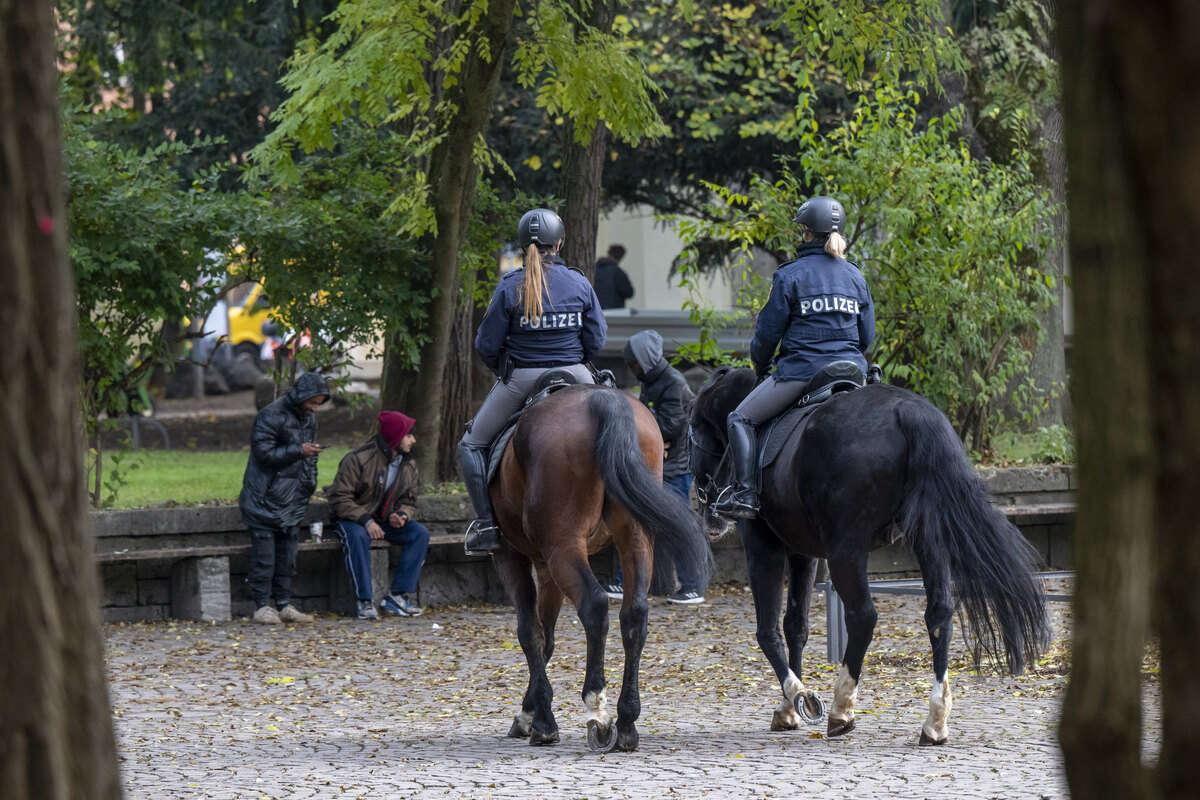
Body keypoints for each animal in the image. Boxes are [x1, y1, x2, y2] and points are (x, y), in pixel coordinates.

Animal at [489, 383, 710, 753]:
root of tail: (601, 400)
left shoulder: (512, 555)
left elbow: (530, 633)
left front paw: (539, 721)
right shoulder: (545, 567)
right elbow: (546, 637)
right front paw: (531, 712)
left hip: (563, 545)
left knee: (594, 605)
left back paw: (597, 709)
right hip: (634, 536)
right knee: (634, 614)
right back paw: (627, 722)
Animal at [691, 367, 1046, 743]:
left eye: (692, 430)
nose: (709, 515)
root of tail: (908, 412)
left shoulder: (764, 545)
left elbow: (767, 630)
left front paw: (800, 697)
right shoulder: (803, 552)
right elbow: (795, 626)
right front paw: (789, 707)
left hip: (846, 550)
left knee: (863, 616)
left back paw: (841, 709)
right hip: (927, 540)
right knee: (939, 613)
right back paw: (935, 721)